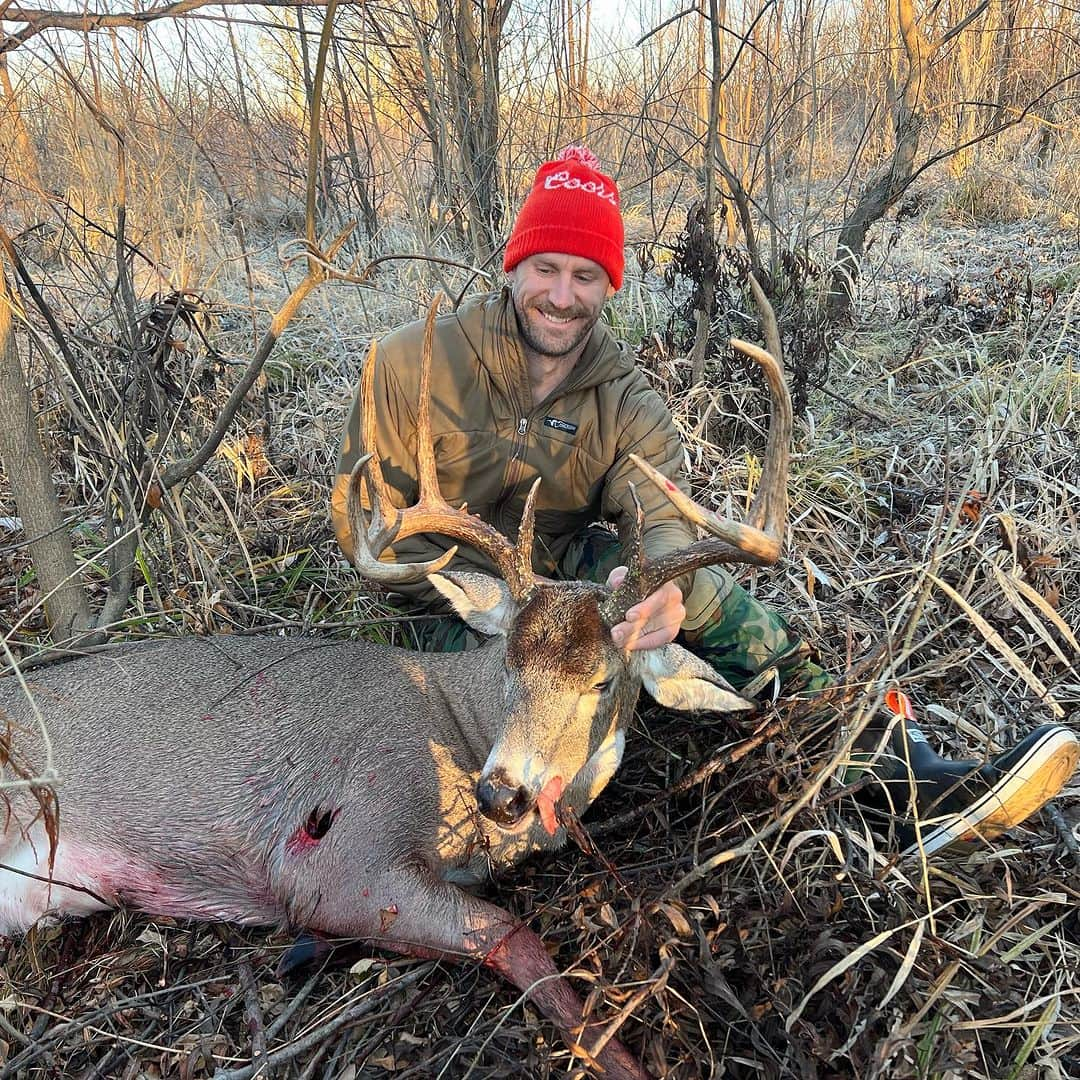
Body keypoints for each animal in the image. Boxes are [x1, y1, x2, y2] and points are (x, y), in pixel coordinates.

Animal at [0, 298, 794, 1080]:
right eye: (506, 661)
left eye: (602, 679)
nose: (501, 791)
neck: (457, 728)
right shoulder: (338, 852)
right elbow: (514, 937)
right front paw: (619, 1057)